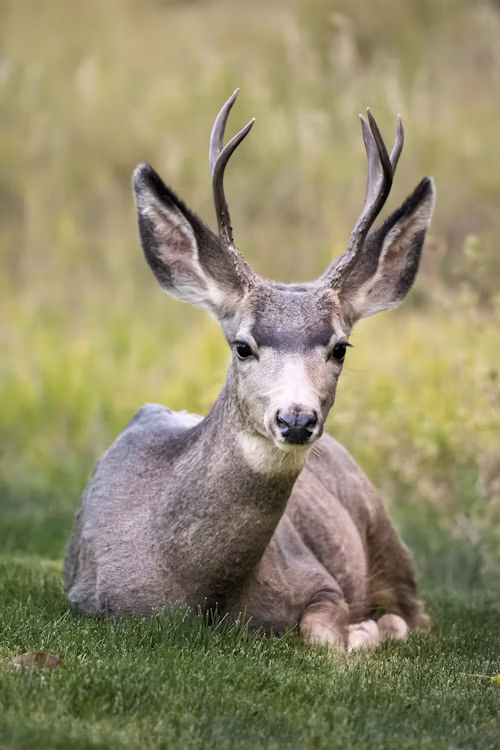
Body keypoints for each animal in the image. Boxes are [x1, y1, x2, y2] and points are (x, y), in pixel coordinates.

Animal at [64, 90, 435, 651]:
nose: (296, 419)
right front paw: (367, 631)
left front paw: (366, 630)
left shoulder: (319, 579)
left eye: (340, 348)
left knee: (420, 613)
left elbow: (325, 633)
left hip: (382, 528)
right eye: (242, 346)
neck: (200, 592)